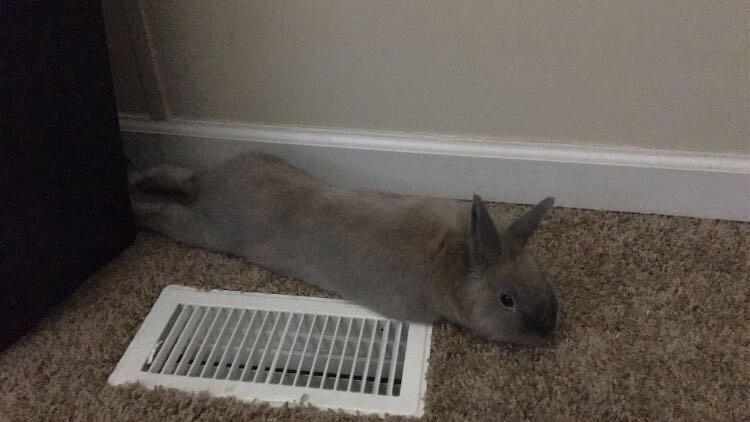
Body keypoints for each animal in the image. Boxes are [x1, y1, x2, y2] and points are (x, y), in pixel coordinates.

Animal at [130, 151, 559, 345]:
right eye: (506, 300)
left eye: (540, 275)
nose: (550, 328)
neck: (454, 257)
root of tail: (210, 188)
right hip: (207, 230)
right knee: (167, 211)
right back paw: (134, 206)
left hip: (210, 182)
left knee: (175, 174)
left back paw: (135, 178)